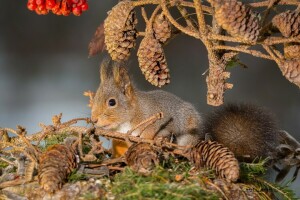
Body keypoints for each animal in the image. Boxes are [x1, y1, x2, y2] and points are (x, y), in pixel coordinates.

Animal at [92, 59, 300, 181]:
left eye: (112, 102)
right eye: (95, 97)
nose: (93, 120)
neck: (132, 115)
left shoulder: (157, 120)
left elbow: (156, 134)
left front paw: (154, 141)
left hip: (187, 137)